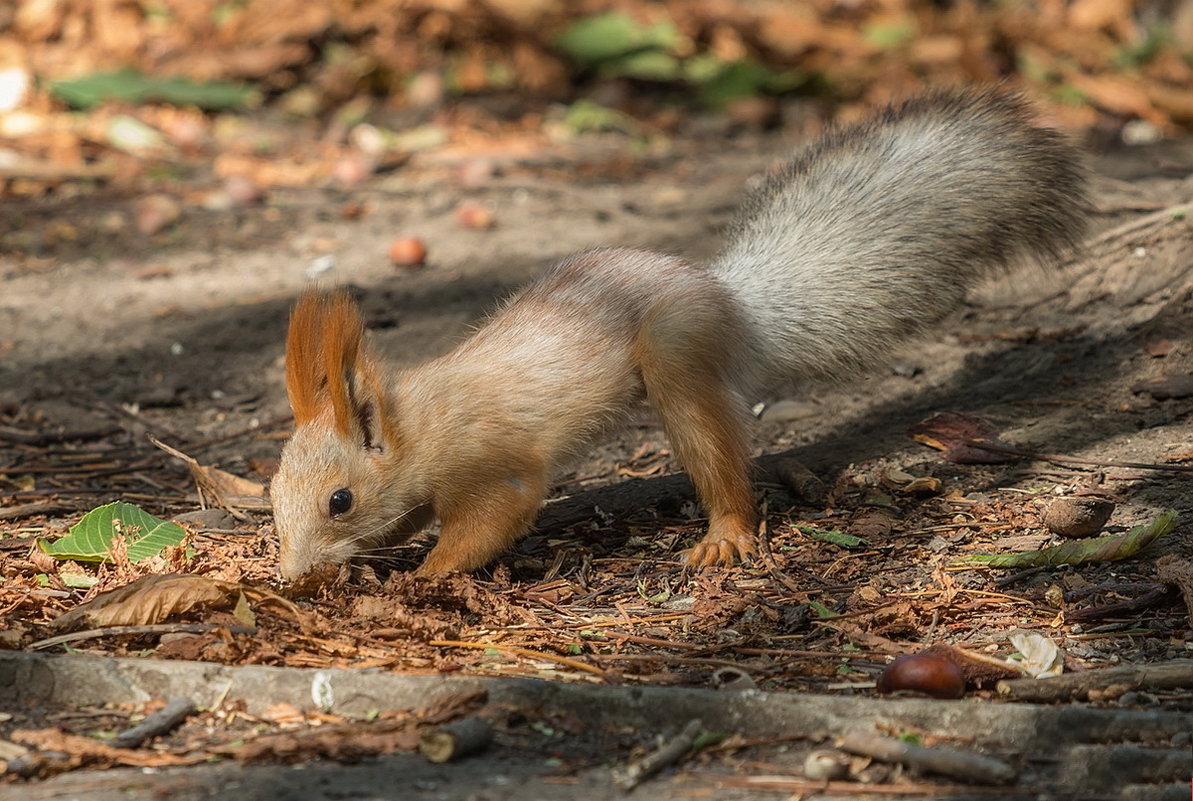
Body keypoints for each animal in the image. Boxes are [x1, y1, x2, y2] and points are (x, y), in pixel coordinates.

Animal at [270, 87, 1092, 580]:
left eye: (339, 500)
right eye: (274, 493)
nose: (290, 575)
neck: (415, 423)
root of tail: (729, 297)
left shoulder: (490, 461)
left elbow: (493, 516)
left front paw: (427, 574)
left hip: (676, 348)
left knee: (718, 458)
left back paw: (726, 532)